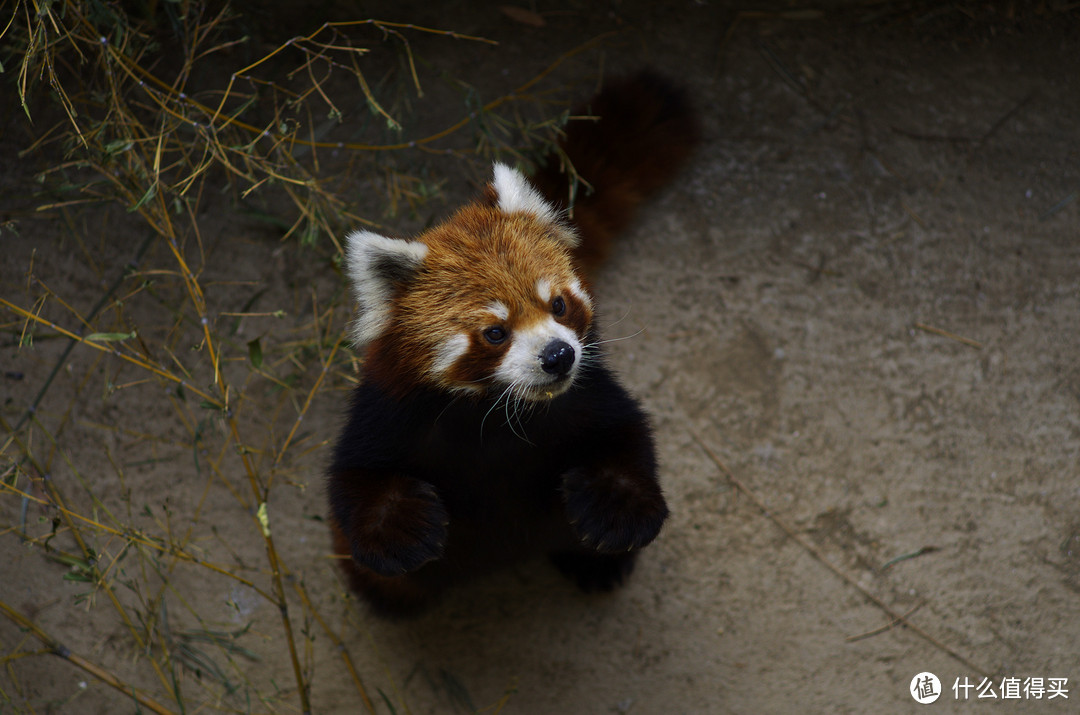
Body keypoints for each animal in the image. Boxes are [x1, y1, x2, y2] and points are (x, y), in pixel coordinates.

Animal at [328, 70, 699, 617]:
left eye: (558, 305)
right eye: (496, 332)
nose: (558, 356)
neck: (500, 417)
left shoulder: (591, 395)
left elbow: (628, 440)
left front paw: (616, 511)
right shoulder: (387, 411)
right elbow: (356, 482)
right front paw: (403, 531)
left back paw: (596, 565)